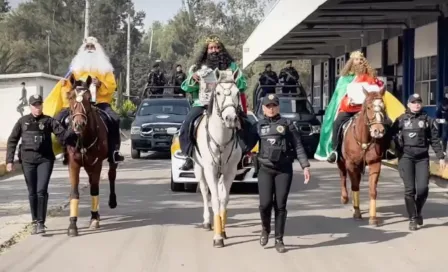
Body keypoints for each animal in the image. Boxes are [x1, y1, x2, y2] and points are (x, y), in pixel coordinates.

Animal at [65, 74, 117, 236]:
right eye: (70, 97)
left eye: (88, 98)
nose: (78, 124)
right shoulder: (74, 164)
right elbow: (74, 193)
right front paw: (72, 225)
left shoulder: (97, 163)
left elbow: (94, 189)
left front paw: (94, 219)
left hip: (109, 161)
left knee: (111, 176)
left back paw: (111, 202)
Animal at [192, 67, 242, 248]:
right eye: (218, 92)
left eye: (237, 92)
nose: (230, 118)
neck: (221, 140)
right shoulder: (210, 170)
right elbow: (213, 199)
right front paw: (217, 237)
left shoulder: (230, 171)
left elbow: (224, 199)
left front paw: (223, 230)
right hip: (199, 169)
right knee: (205, 192)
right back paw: (207, 222)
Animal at [338, 87, 386, 225]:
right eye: (369, 107)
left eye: (383, 107)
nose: (378, 131)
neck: (363, 138)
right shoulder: (351, 164)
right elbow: (354, 186)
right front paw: (357, 213)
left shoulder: (375, 163)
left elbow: (372, 190)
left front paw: (373, 217)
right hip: (342, 162)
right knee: (343, 176)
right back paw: (344, 198)